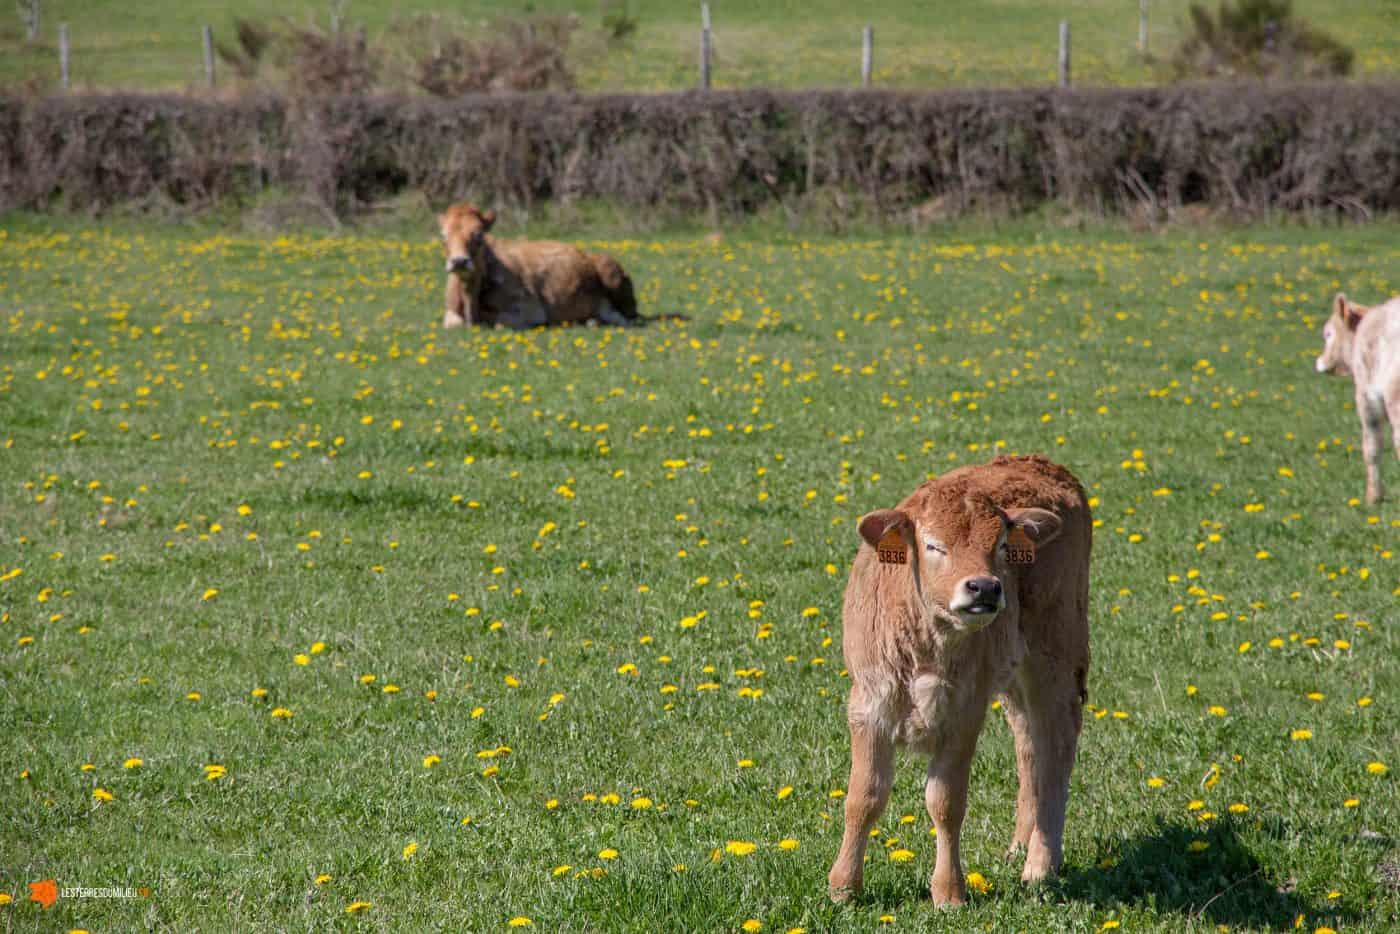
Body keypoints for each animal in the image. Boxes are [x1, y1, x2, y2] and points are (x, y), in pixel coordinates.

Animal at [436, 204, 641, 331]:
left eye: (479, 235)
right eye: (443, 236)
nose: (459, 261)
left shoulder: (531, 307)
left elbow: (501, 323)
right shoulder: (450, 312)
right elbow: (453, 323)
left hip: (610, 270)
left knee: (628, 318)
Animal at [828, 456, 1092, 907]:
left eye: (1001, 545)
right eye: (934, 545)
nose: (985, 587)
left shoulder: (964, 714)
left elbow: (946, 801)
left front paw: (949, 892)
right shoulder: (869, 705)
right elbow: (864, 797)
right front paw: (844, 886)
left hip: (1055, 657)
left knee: (1055, 743)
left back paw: (1039, 865)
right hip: (1016, 678)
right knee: (1028, 744)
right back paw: (1019, 845)